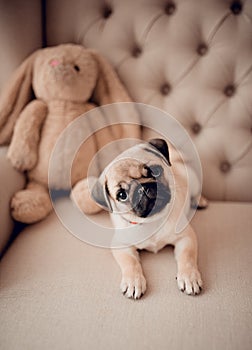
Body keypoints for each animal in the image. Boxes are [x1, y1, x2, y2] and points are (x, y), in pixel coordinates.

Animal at [91, 138, 206, 300]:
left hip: (194, 181)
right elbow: (130, 263)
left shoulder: (186, 237)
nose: (142, 189)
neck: (152, 220)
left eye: (155, 171)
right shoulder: (121, 246)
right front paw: (133, 282)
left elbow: (187, 257)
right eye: (121, 195)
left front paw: (189, 277)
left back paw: (200, 201)